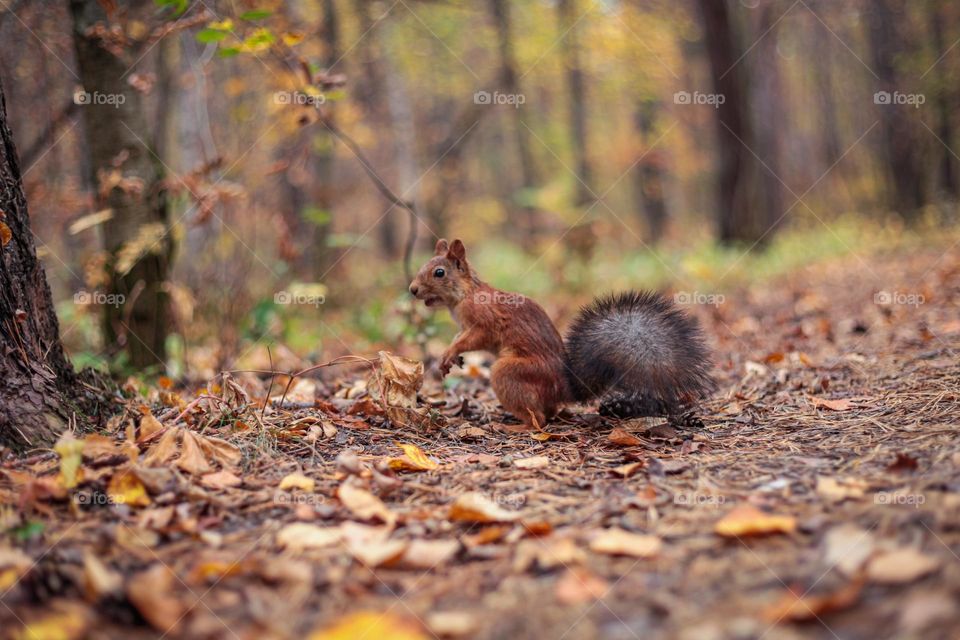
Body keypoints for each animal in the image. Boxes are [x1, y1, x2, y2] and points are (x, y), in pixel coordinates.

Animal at [404, 239, 712, 430]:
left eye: (439, 272)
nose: (412, 290)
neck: (466, 294)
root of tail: (564, 387)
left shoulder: (484, 323)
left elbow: (471, 339)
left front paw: (450, 354)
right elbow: (458, 339)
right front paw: (449, 359)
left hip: (509, 372)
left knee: (539, 419)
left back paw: (514, 426)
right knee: (549, 413)